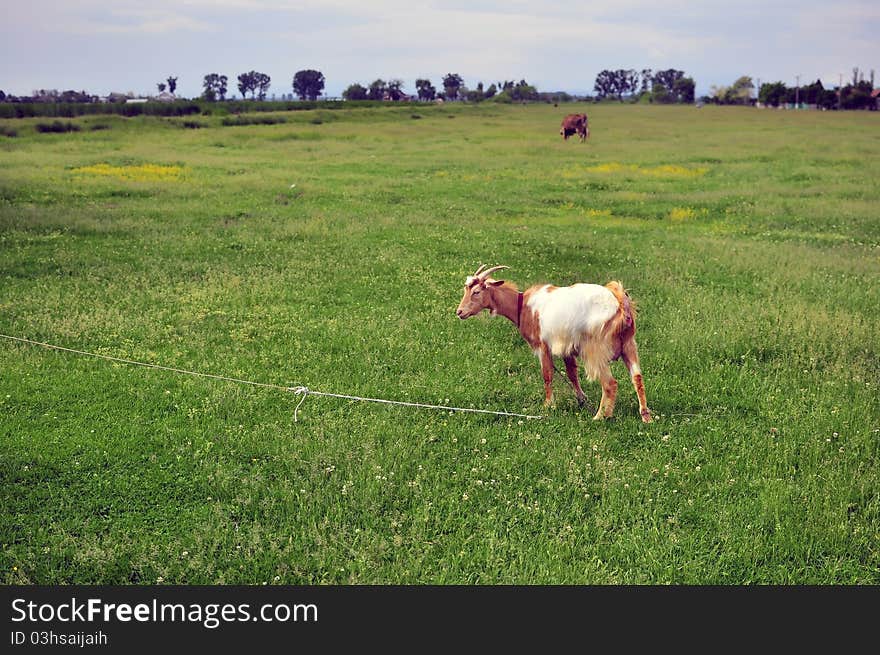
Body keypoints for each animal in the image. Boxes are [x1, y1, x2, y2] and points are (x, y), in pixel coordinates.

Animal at [458, 264, 648, 422]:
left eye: (476, 291)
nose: (459, 312)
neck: (522, 306)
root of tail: (620, 306)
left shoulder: (543, 345)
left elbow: (547, 375)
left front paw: (549, 405)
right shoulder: (567, 348)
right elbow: (572, 373)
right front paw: (581, 399)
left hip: (595, 350)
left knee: (610, 384)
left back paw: (600, 416)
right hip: (629, 344)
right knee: (637, 377)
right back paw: (646, 416)